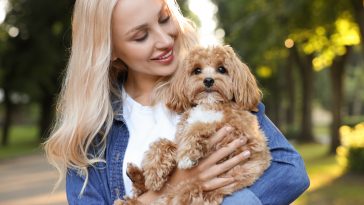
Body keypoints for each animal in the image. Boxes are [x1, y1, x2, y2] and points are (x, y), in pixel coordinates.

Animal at [115, 45, 272, 205]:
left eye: (222, 69)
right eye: (197, 70)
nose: (208, 80)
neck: (208, 103)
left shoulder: (239, 132)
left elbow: (200, 126)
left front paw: (187, 155)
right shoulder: (181, 135)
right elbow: (163, 143)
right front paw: (154, 172)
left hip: (191, 191)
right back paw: (134, 177)